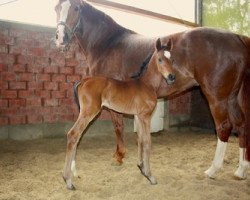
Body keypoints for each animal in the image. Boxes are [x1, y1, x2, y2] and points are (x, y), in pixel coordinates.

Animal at [63, 38, 175, 189]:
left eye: (172, 59)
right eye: (160, 59)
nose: (171, 77)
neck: (146, 85)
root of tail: (83, 80)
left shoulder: (138, 116)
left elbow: (139, 139)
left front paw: (141, 167)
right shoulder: (145, 116)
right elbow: (147, 142)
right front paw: (150, 176)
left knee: (77, 136)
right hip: (88, 113)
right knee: (73, 135)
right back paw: (68, 181)